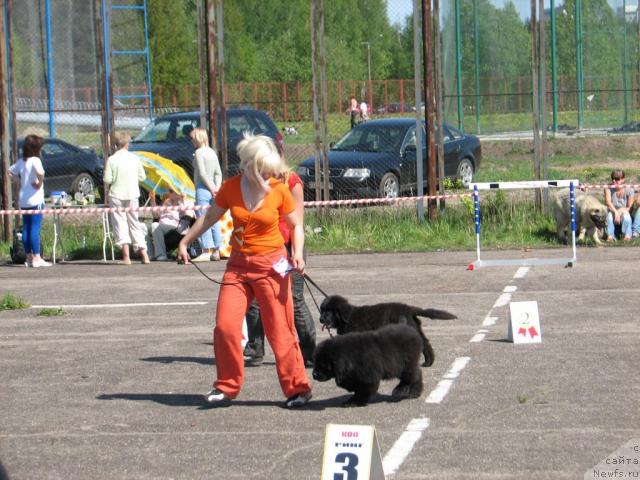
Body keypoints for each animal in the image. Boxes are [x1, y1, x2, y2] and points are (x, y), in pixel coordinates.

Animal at [320, 292, 456, 368]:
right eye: (322, 310)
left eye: (328, 311)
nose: (320, 319)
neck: (348, 317)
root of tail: (409, 309)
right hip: (416, 328)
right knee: (425, 344)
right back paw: (428, 362)